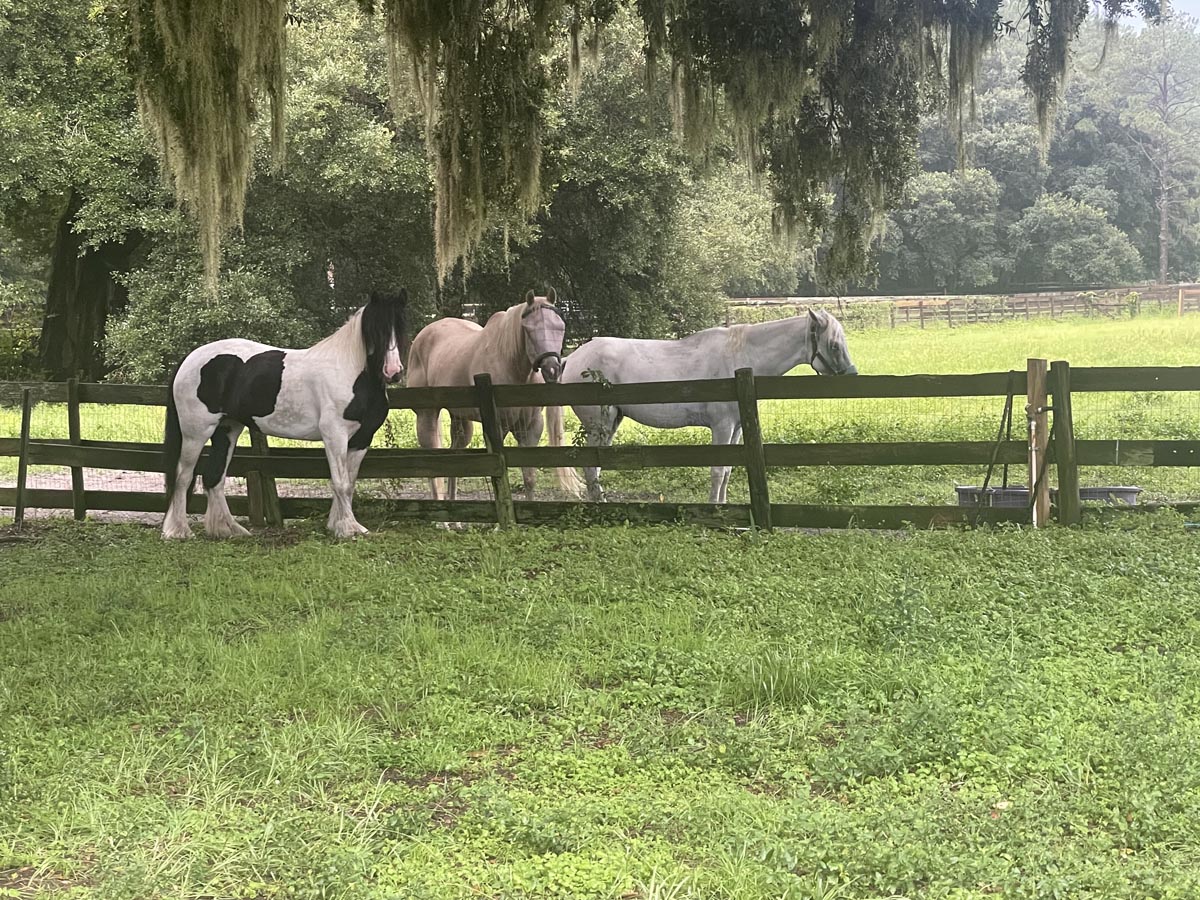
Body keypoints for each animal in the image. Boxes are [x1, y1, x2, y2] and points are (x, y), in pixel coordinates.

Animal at [162, 289, 408, 540]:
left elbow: (349, 485)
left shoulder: (362, 439)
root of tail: (189, 360)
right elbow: (340, 483)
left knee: (214, 477)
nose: (393, 372)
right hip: (196, 433)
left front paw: (338, 525)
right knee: (183, 477)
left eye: (400, 326)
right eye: (375, 330)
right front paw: (349, 528)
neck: (350, 373)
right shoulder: (335, 435)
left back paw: (228, 529)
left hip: (226, 429)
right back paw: (179, 531)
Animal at [406, 288, 583, 500]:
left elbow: (529, 478)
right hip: (426, 416)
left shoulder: (530, 427)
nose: (552, 370)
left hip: (460, 419)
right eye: (528, 330)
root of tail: (421, 338)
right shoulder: (500, 427)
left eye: (560, 326)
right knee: (433, 471)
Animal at [560, 309, 858, 504]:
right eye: (833, 344)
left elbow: (726, 471)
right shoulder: (722, 428)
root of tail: (573, 358)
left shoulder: (736, 429)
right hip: (597, 426)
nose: (852, 375)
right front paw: (715, 508)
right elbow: (716, 471)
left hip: (610, 424)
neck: (740, 357)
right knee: (591, 468)